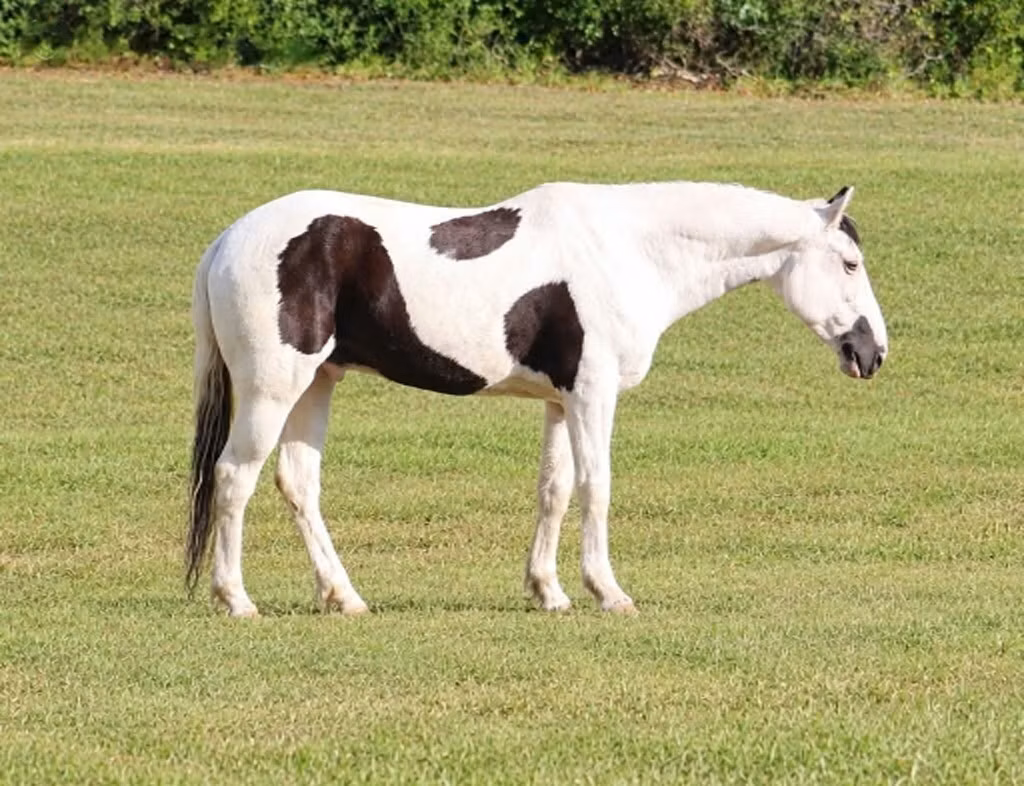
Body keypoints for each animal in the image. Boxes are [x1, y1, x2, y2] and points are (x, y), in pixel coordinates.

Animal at [186, 180, 888, 617]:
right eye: (850, 264)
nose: (872, 352)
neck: (630, 250)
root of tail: (227, 240)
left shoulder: (560, 401)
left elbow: (555, 488)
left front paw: (548, 591)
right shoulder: (593, 395)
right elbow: (597, 487)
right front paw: (608, 591)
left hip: (316, 385)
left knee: (298, 483)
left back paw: (344, 596)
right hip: (272, 390)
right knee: (234, 477)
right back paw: (236, 599)